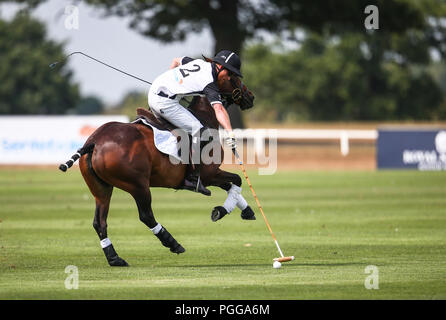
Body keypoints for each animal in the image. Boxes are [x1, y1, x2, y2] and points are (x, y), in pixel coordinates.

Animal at [59, 76, 254, 266]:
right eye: (236, 77)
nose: (250, 96)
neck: (204, 116)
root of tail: (94, 142)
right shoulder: (210, 174)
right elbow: (237, 179)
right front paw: (221, 211)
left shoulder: (210, 177)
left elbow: (231, 185)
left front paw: (246, 210)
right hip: (138, 185)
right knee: (146, 216)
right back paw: (173, 243)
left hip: (102, 188)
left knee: (99, 222)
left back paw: (115, 258)